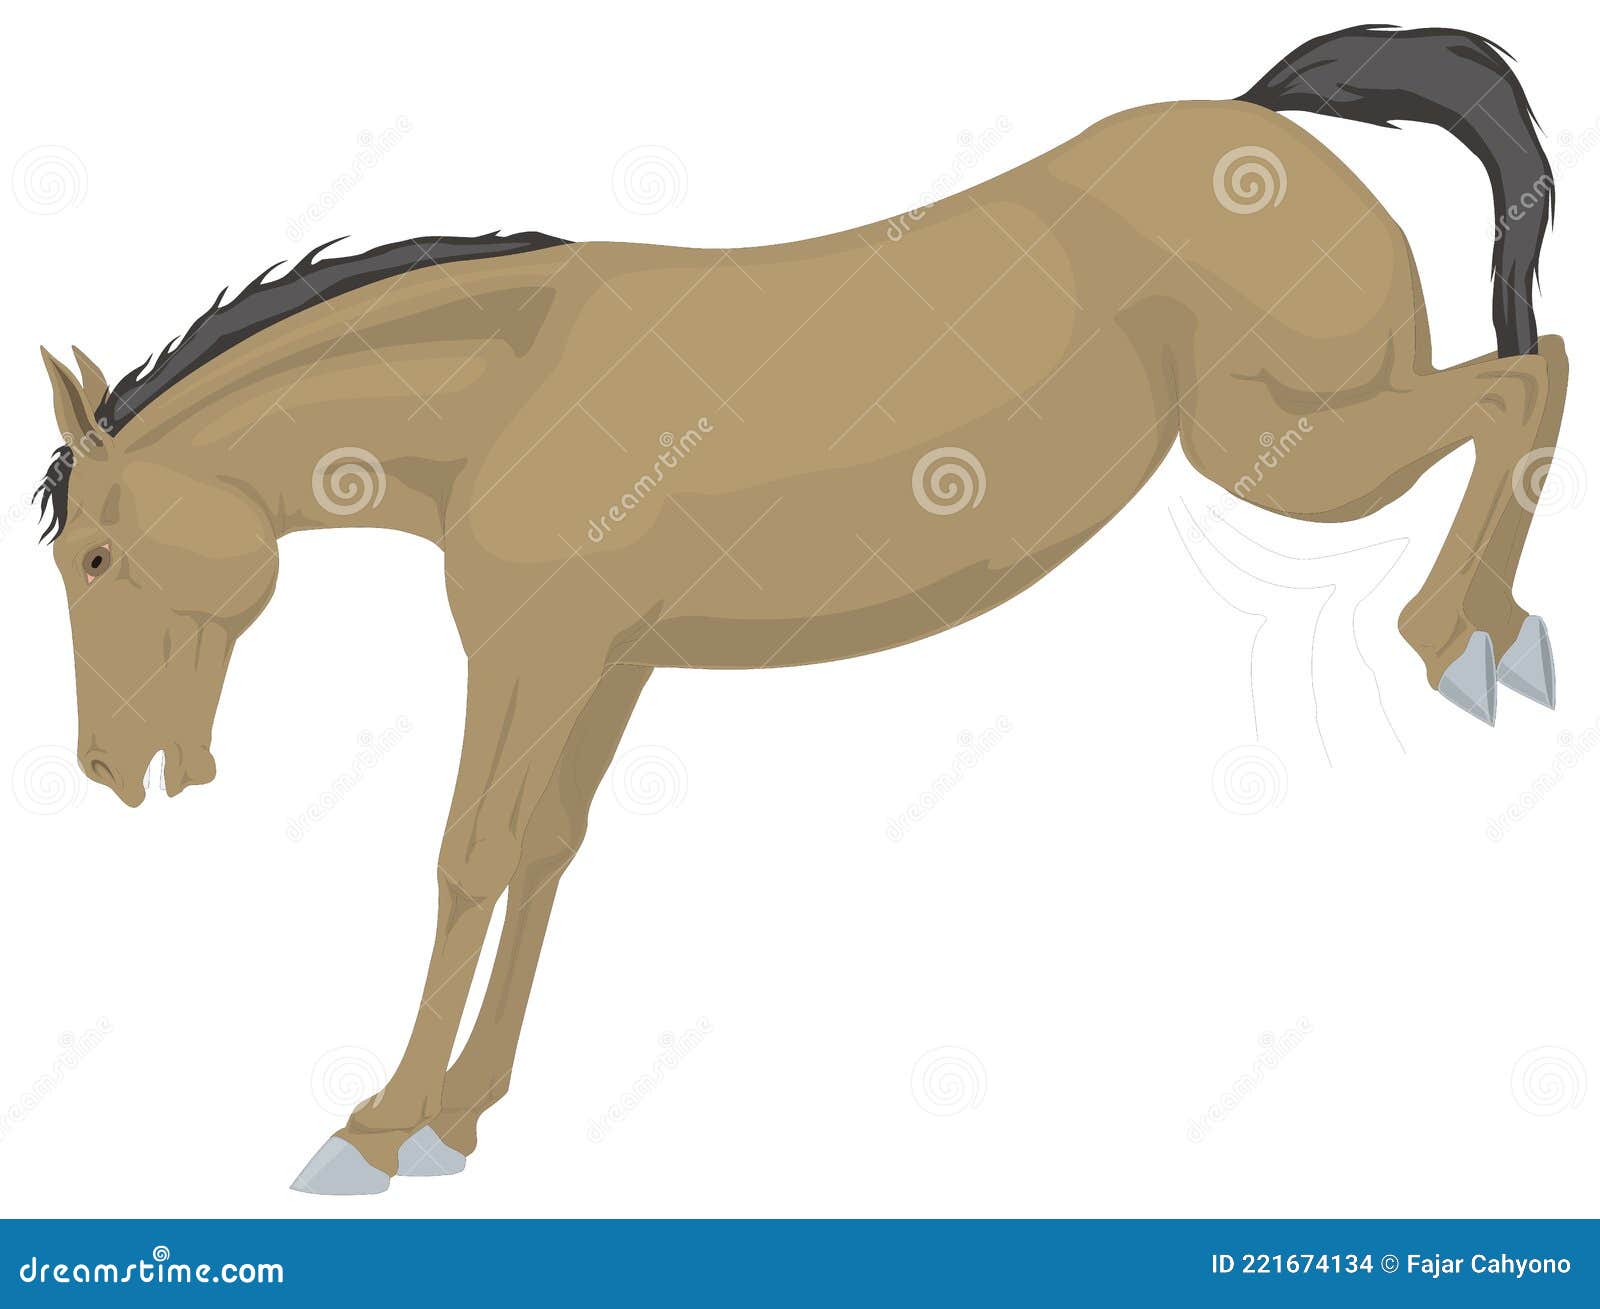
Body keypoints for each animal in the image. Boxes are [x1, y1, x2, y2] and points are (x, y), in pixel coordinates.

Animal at [34, 25, 1566, 1193]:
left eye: (94, 559)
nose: (108, 766)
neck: (506, 393)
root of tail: (1260, 122)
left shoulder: (530, 652)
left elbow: (469, 857)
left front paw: (379, 1127)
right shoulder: (602, 666)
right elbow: (546, 853)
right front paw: (461, 1115)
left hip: (1284, 448)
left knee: (1525, 382)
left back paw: (1469, 640)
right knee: (1529, 377)